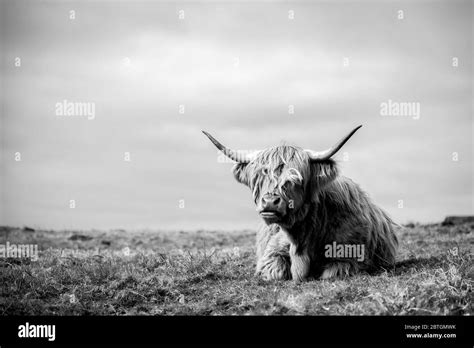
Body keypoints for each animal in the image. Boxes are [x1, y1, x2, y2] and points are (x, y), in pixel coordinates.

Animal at [202, 126, 398, 282]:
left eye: (294, 179)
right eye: (258, 177)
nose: (270, 202)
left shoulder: (350, 257)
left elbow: (330, 273)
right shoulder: (270, 254)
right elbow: (277, 271)